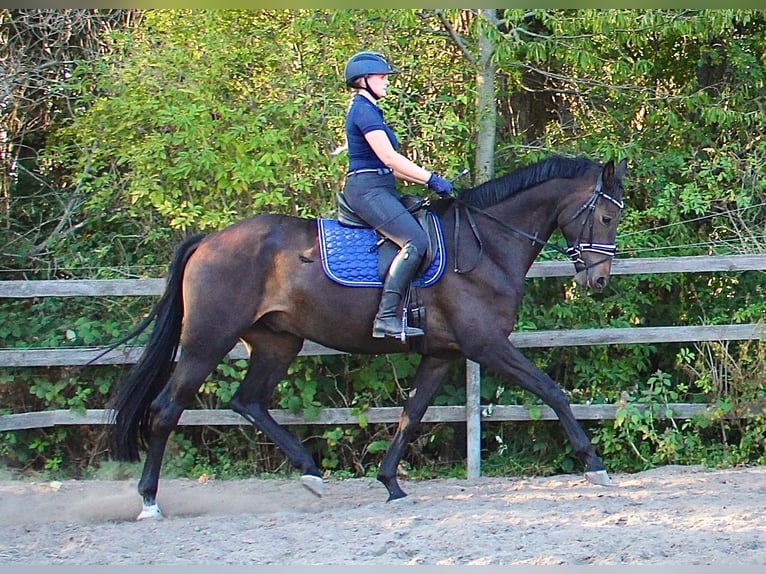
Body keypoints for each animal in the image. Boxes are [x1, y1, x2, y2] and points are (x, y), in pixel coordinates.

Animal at [103, 154, 632, 520]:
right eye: (607, 217)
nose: (599, 281)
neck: (484, 246)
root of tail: (208, 241)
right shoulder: (486, 345)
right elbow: (551, 391)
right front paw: (594, 463)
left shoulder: (441, 354)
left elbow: (410, 415)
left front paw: (391, 484)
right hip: (207, 341)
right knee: (167, 409)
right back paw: (149, 502)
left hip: (277, 342)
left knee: (248, 401)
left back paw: (311, 473)